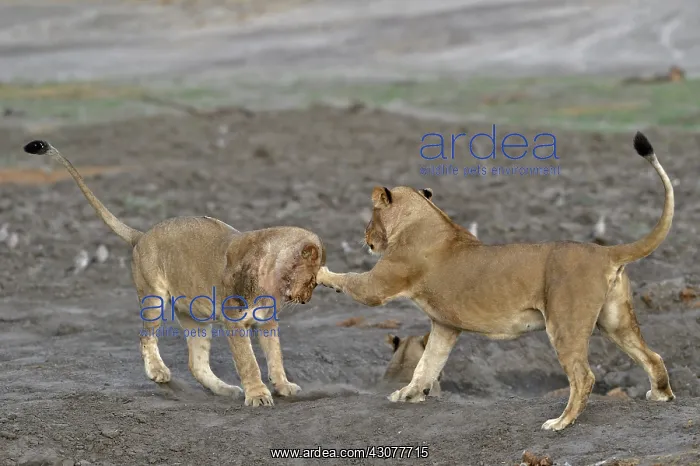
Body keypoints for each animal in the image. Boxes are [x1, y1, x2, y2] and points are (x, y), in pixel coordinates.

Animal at [23, 140, 325, 407]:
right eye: (311, 280)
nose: (307, 299)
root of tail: (142, 235)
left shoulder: (266, 321)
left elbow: (275, 357)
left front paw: (283, 386)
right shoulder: (234, 321)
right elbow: (249, 362)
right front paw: (258, 395)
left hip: (196, 316)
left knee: (196, 363)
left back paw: (225, 389)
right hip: (154, 298)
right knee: (146, 337)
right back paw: (159, 372)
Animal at [317, 132, 675, 430]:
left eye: (370, 217)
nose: (366, 238)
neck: (421, 216)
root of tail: (605, 250)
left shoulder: (380, 286)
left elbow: (351, 280)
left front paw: (319, 272)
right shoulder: (445, 326)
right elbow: (428, 364)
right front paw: (408, 394)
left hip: (565, 322)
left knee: (583, 376)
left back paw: (560, 423)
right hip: (616, 321)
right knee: (653, 356)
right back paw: (661, 395)